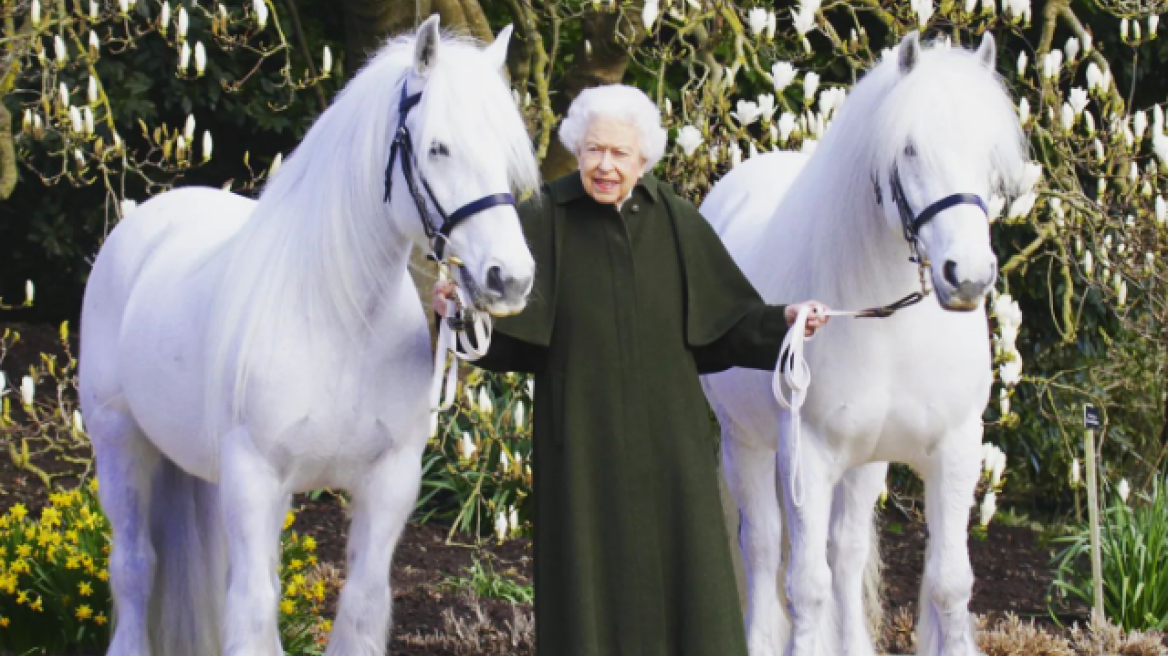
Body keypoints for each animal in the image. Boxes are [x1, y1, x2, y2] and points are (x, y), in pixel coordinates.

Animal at [77, 16, 537, 653]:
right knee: (134, 566)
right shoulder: (255, 478)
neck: (340, 322)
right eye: (438, 147)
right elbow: (253, 608)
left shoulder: (389, 481)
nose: (509, 278)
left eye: (505, 151)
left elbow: (362, 605)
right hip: (119, 443)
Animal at [700, 34, 1023, 653]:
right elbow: (805, 587)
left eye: (987, 152)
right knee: (763, 548)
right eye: (910, 149)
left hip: (864, 462)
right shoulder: (807, 455)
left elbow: (949, 583)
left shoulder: (955, 450)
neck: (890, 327)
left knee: (845, 554)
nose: (968, 276)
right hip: (746, 442)